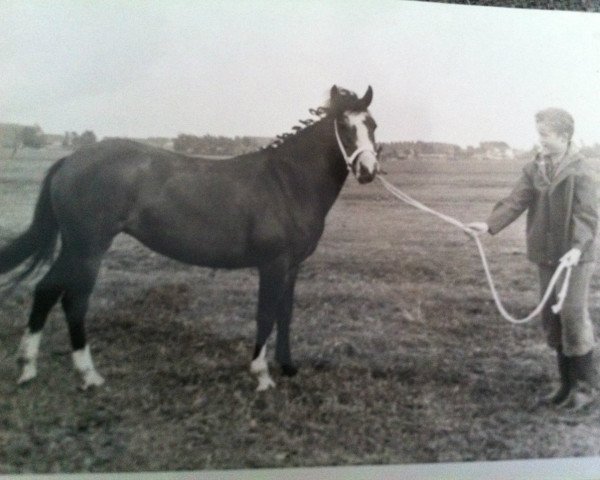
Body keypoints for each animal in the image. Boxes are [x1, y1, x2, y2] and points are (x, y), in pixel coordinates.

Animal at [0, 85, 380, 390]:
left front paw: (287, 367)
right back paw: (88, 375)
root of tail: (69, 160)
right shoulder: (272, 265)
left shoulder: (292, 265)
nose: (368, 171)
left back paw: (28, 368)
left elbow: (284, 314)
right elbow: (265, 314)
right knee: (73, 301)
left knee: (46, 291)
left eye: (372, 125)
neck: (287, 182)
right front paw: (261, 376)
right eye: (345, 127)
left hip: (75, 247)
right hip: (88, 249)